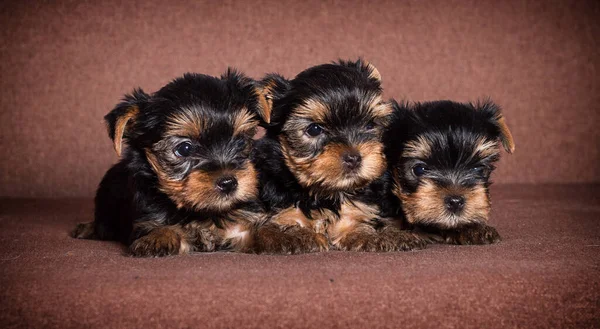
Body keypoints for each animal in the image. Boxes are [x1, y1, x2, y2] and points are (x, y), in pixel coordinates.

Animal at [73, 70, 316, 256]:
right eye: (184, 149)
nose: (229, 182)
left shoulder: (240, 225)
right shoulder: (147, 218)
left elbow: (259, 229)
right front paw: (157, 237)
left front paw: (287, 235)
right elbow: (159, 227)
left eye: (239, 141)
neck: (204, 211)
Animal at [253, 60, 426, 250]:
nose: (353, 157)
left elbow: (361, 229)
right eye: (314, 129)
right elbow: (274, 230)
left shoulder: (355, 214)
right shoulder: (281, 212)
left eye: (370, 124)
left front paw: (389, 236)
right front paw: (298, 236)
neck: (328, 193)